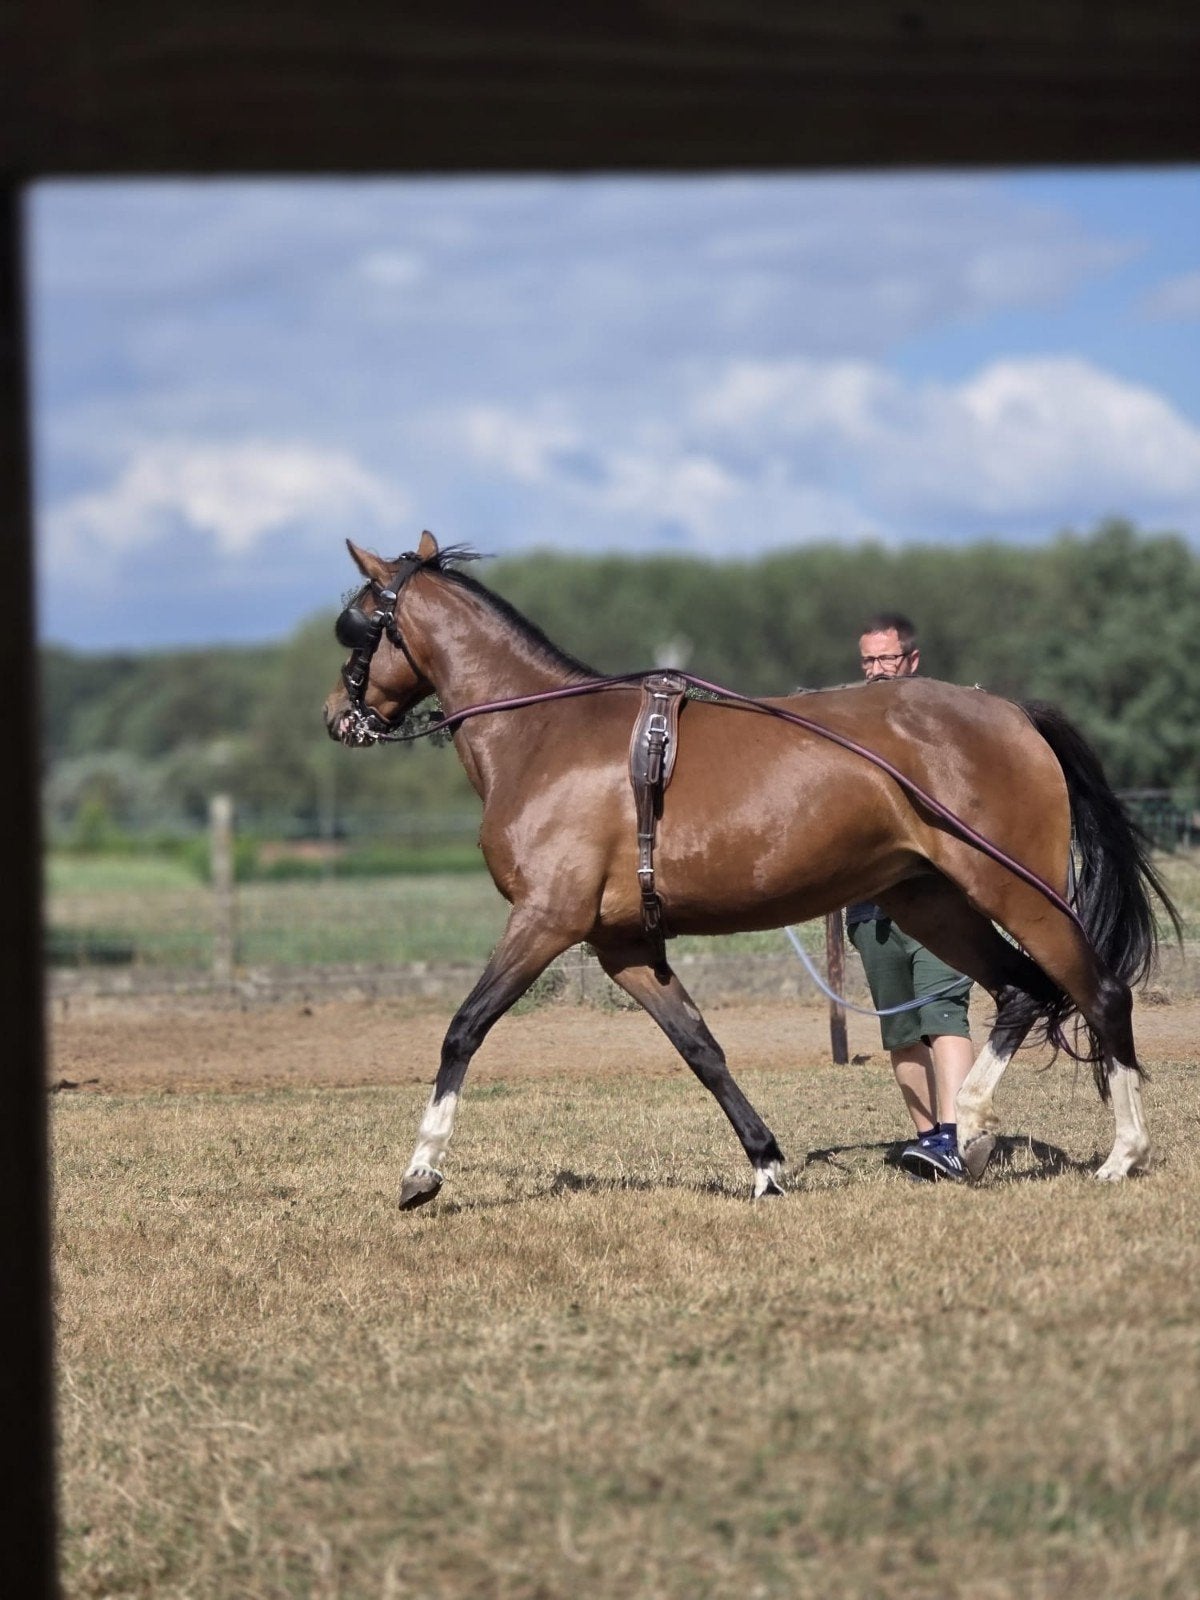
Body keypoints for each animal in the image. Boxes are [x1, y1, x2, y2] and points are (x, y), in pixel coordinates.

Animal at [323, 531, 1178, 1209]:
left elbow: (464, 1029)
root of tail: (1009, 710)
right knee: (1020, 992)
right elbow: (702, 1049)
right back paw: (963, 1128)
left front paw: (422, 1170)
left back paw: (1120, 1153)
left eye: (356, 625)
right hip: (931, 900)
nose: (337, 717)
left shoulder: (543, 921)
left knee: (1099, 993)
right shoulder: (623, 946)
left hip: (1018, 891)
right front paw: (766, 1166)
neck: (543, 732)